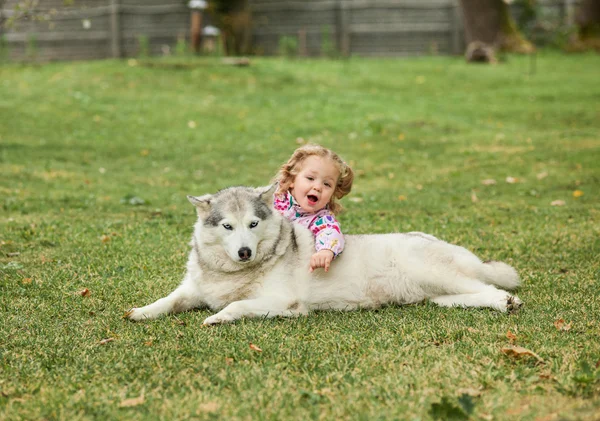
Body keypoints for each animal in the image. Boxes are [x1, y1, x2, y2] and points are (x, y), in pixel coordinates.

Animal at [129, 185, 524, 324]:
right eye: (227, 226)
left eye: (253, 224)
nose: (244, 251)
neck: (232, 274)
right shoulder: (192, 290)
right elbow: (168, 300)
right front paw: (142, 312)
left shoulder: (284, 303)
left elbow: (237, 305)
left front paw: (217, 317)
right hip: (436, 294)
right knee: (466, 295)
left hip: (435, 272)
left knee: (490, 288)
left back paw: (506, 301)